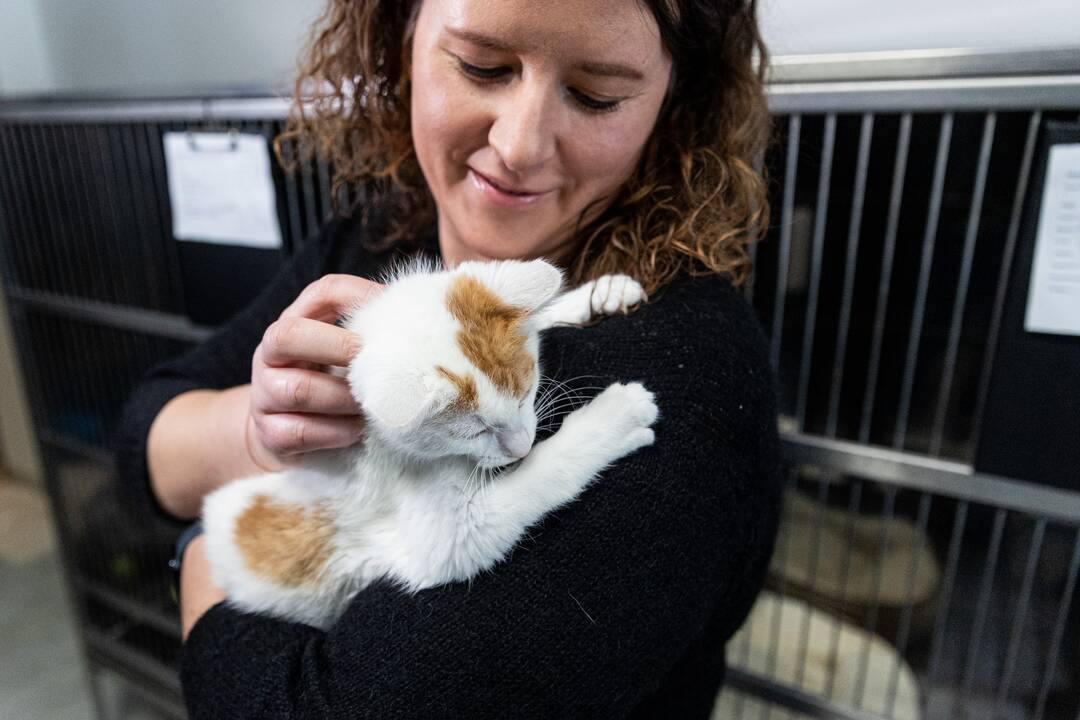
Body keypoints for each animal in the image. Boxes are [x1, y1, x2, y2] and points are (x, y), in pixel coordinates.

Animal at [203, 257, 656, 626]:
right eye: (473, 431)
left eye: (525, 392)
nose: (521, 447)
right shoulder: (449, 537)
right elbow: (539, 479)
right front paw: (616, 417)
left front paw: (594, 295)